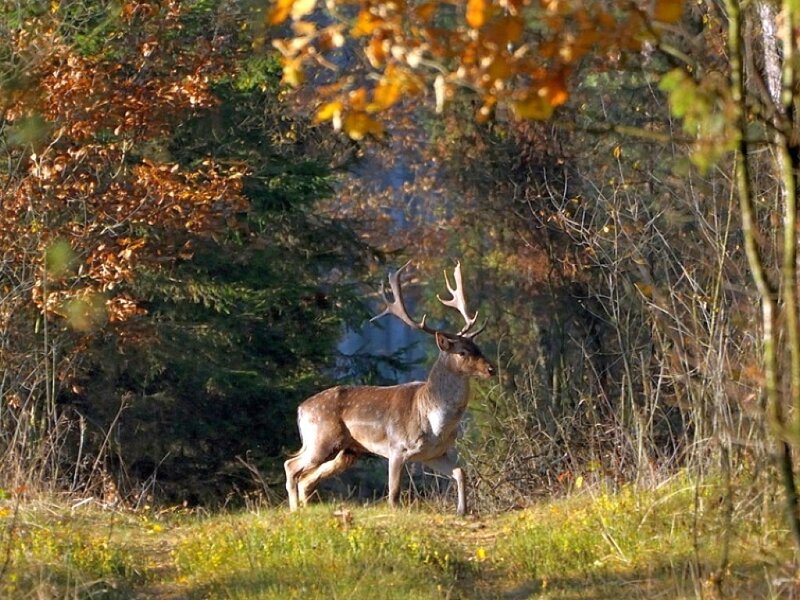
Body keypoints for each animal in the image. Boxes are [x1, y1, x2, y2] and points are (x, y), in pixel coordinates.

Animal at [284, 261, 495, 516]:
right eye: (462, 352)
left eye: (477, 347)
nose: (491, 369)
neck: (435, 421)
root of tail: (300, 409)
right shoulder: (397, 448)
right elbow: (393, 494)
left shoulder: (433, 453)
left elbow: (460, 472)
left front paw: (462, 511)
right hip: (322, 438)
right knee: (291, 465)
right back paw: (294, 510)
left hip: (347, 451)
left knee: (306, 479)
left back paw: (304, 508)